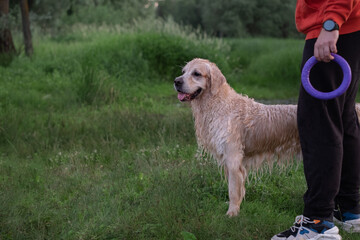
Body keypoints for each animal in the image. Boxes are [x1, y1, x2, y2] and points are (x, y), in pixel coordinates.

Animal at [173, 58, 360, 218]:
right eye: (183, 72)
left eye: (197, 73)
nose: (176, 81)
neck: (217, 104)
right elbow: (235, 189)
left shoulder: (233, 159)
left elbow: (233, 190)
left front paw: (232, 213)